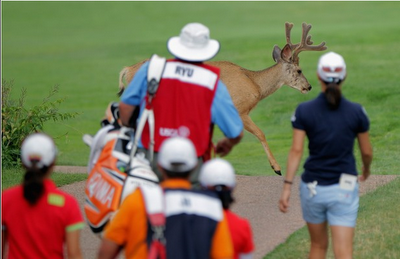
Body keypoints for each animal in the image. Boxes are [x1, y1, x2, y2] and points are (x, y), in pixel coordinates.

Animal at [117, 22, 326, 177]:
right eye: (299, 70)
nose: (308, 86)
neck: (255, 84)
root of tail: (127, 69)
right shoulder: (239, 109)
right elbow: (260, 133)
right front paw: (276, 168)